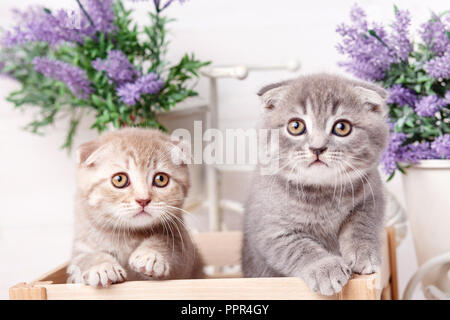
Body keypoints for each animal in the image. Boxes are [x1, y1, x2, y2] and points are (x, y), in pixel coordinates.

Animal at [243, 72, 390, 296]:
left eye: (342, 127)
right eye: (296, 126)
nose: (317, 148)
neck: (323, 193)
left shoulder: (373, 195)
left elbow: (362, 224)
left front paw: (363, 252)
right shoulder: (270, 229)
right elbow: (299, 248)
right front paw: (325, 269)